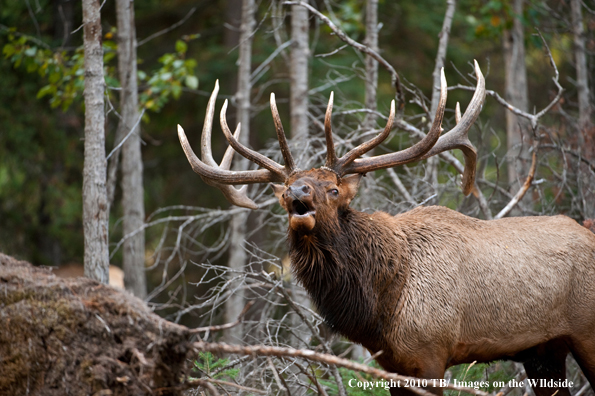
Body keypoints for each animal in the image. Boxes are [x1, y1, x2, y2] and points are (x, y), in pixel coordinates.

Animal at [178, 60, 595, 394]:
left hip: (585, 331)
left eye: (333, 188)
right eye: (284, 192)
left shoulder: (431, 353)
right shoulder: (392, 365)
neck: (379, 306)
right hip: (544, 351)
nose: (297, 191)